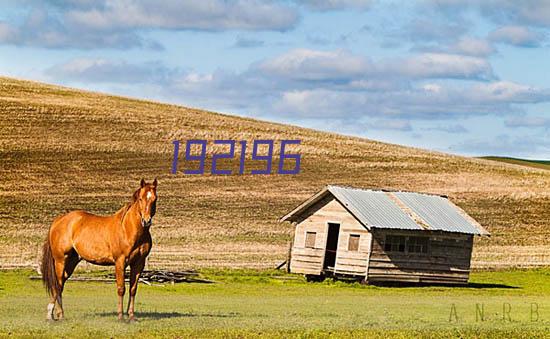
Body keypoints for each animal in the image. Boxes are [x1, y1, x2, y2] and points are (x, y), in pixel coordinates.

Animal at [40, 179, 157, 322]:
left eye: (154, 199)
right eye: (140, 199)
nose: (146, 221)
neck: (128, 229)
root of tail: (58, 220)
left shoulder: (139, 263)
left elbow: (133, 289)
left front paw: (131, 317)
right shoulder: (120, 262)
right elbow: (121, 288)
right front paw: (120, 317)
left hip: (71, 261)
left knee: (60, 285)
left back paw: (58, 315)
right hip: (60, 261)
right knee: (57, 284)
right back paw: (52, 315)